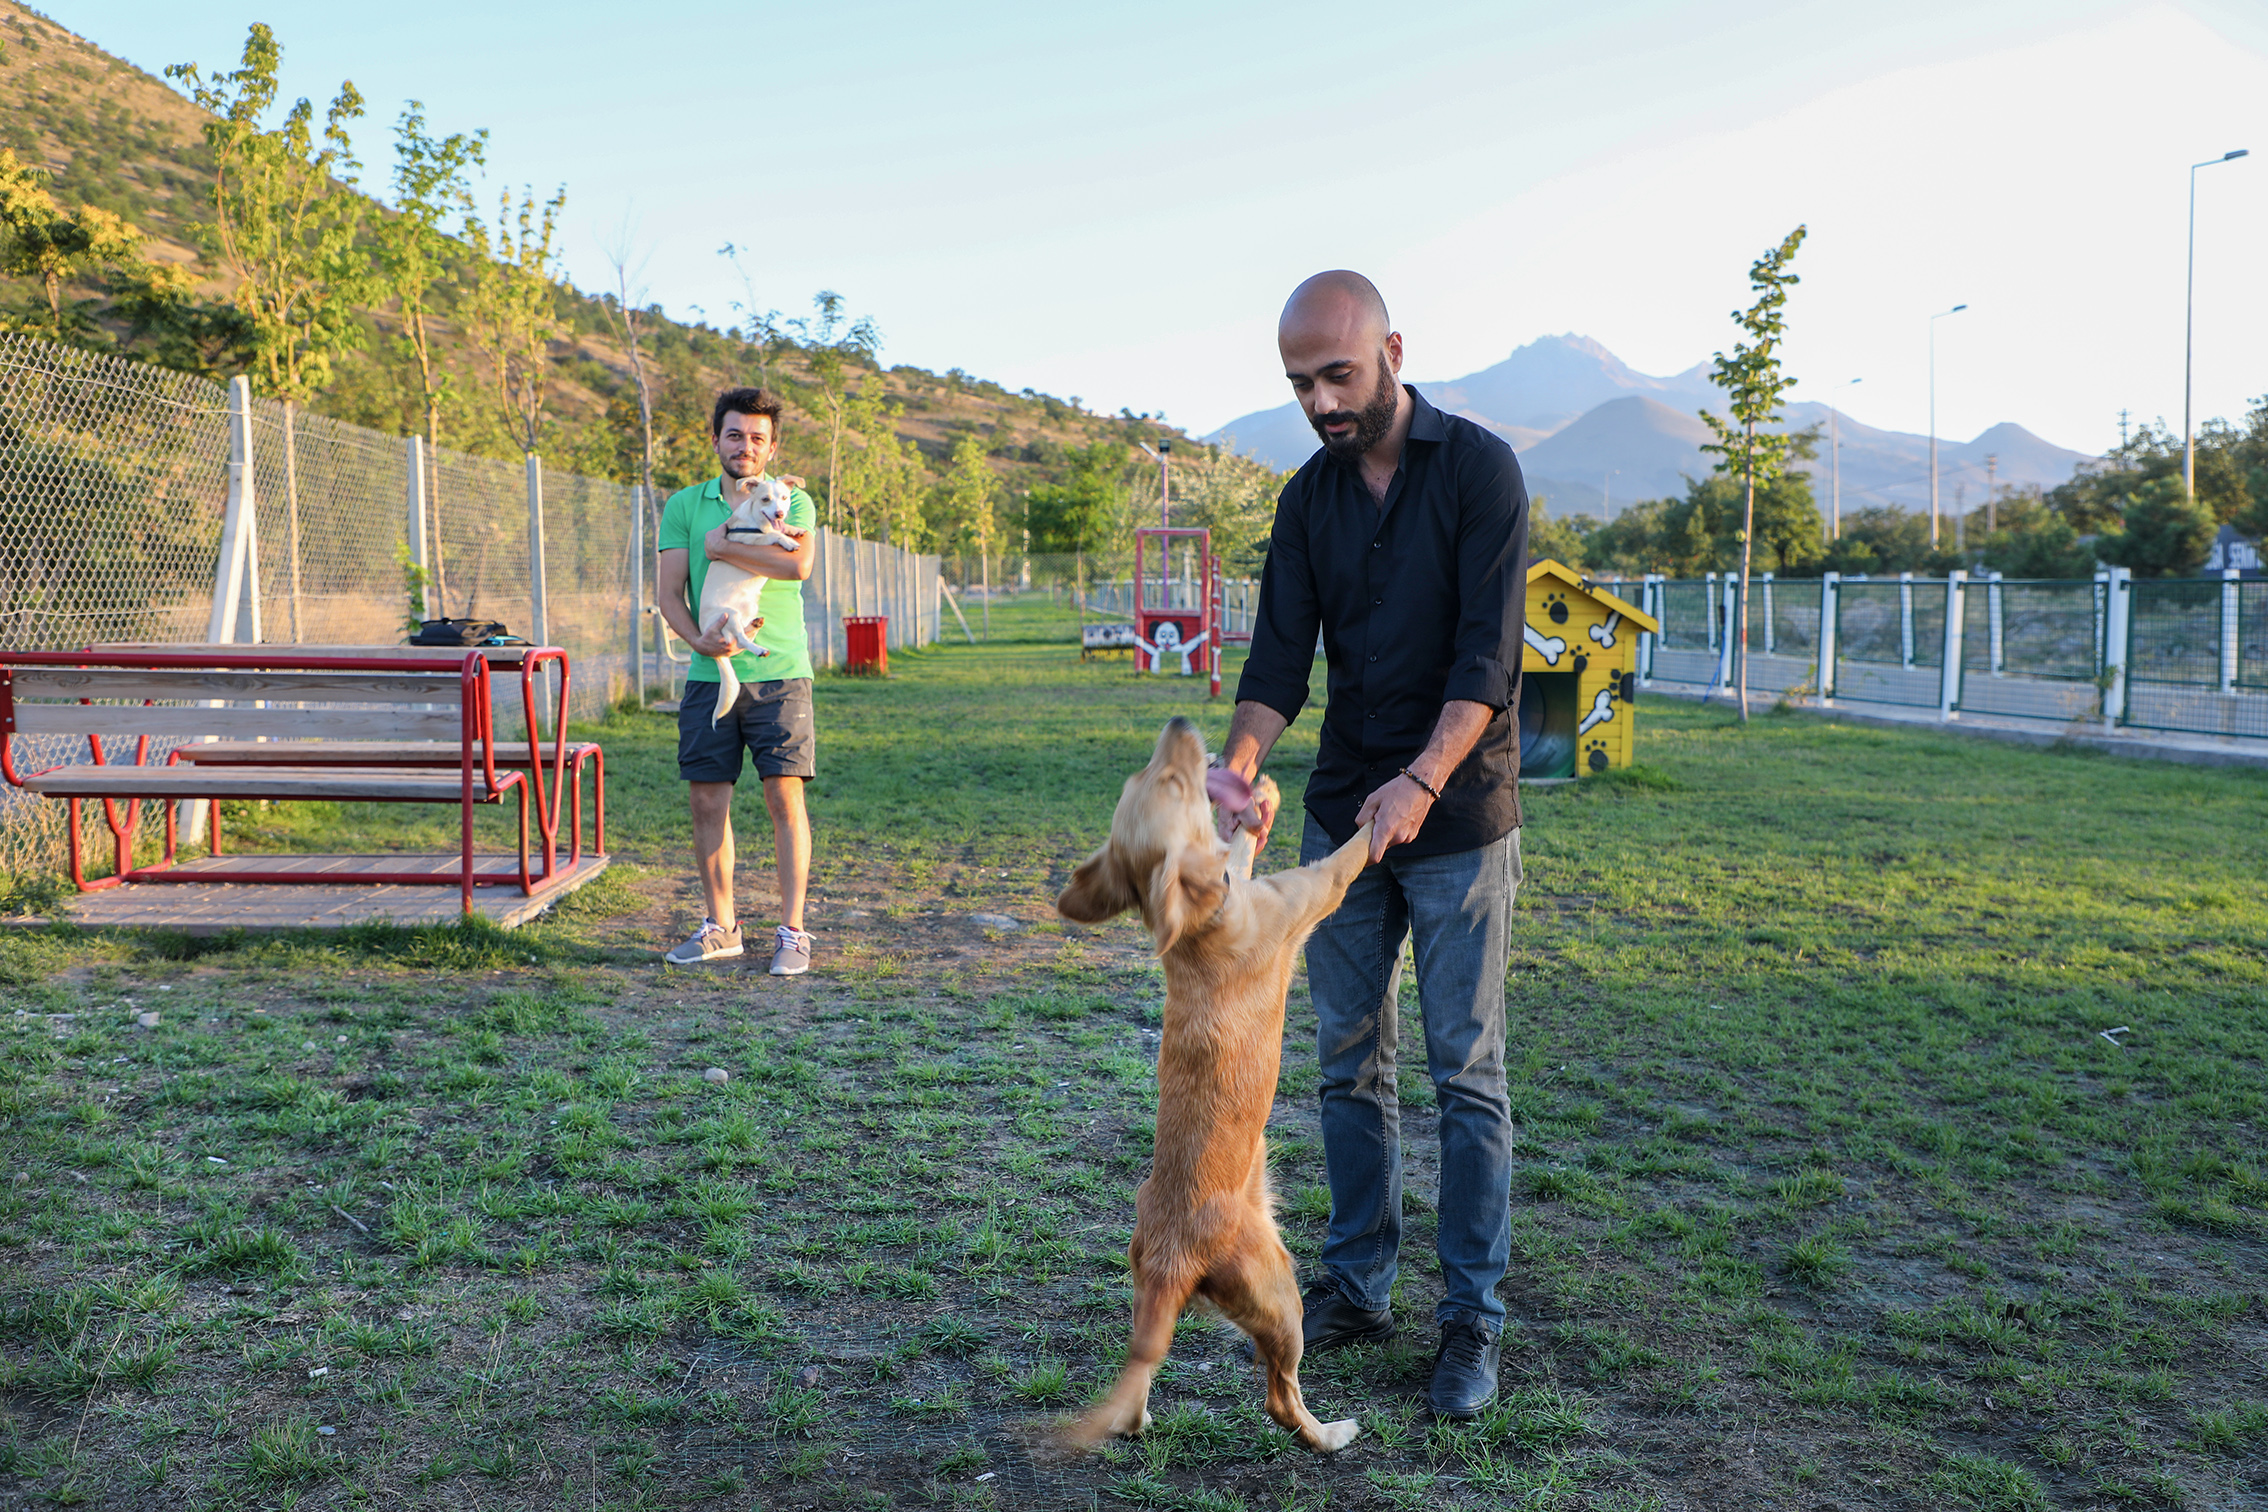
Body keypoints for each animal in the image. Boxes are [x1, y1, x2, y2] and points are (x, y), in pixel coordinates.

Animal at [1052, 720, 1369, 1450]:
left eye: (1144, 776)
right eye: (1172, 781)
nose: (1181, 725)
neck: (1201, 919)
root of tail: (1173, 1260)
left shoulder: (1241, 876)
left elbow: (1241, 848)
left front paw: (1260, 801)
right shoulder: (1315, 889)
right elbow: (1354, 851)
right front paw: (1393, 806)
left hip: (1152, 1293)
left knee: (1141, 1379)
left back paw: (1140, 1419)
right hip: (1282, 1293)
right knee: (1281, 1399)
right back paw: (1333, 1433)